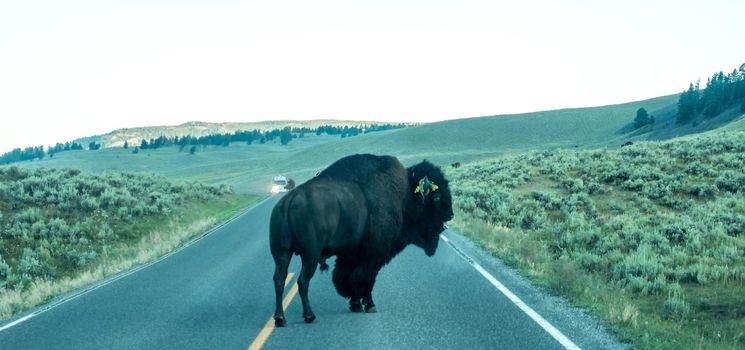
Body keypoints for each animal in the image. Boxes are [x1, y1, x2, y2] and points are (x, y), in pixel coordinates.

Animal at [268, 153, 454, 326]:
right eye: (437, 197)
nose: (450, 214)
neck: (405, 195)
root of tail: (289, 201)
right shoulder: (373, 255)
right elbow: (365, 279)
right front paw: (370, 305)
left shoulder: (351, 255)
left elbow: (348, 277)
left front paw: (355, 305)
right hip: (310, 256)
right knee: (302, 281)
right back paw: (309, 316)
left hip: (282, 253)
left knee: (279, 280)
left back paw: (280, 319)